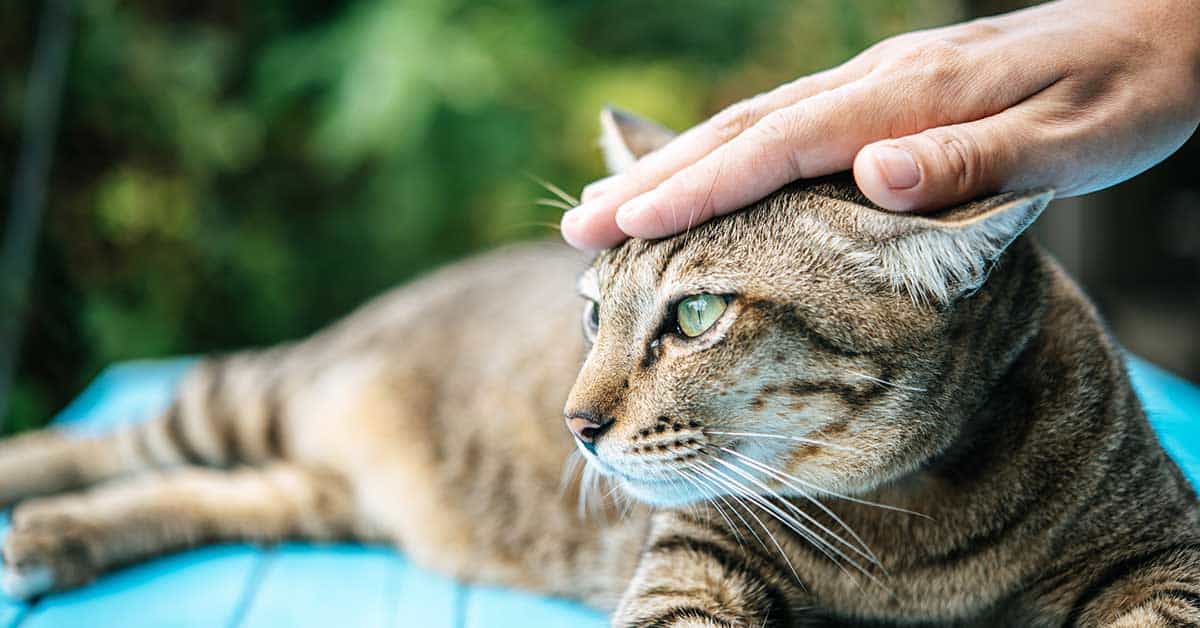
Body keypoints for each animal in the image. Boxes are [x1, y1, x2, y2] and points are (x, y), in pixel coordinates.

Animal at [0, 110, 1195, 624]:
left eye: (697, 314)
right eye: (591, 312)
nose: (571, 423)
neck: (907, 532)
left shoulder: (1163, 550)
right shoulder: (694, 556)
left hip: (321, 491)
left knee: (221, 493)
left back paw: (54, 540)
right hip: (255, 395)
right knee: (111, 435)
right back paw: (31, 499)